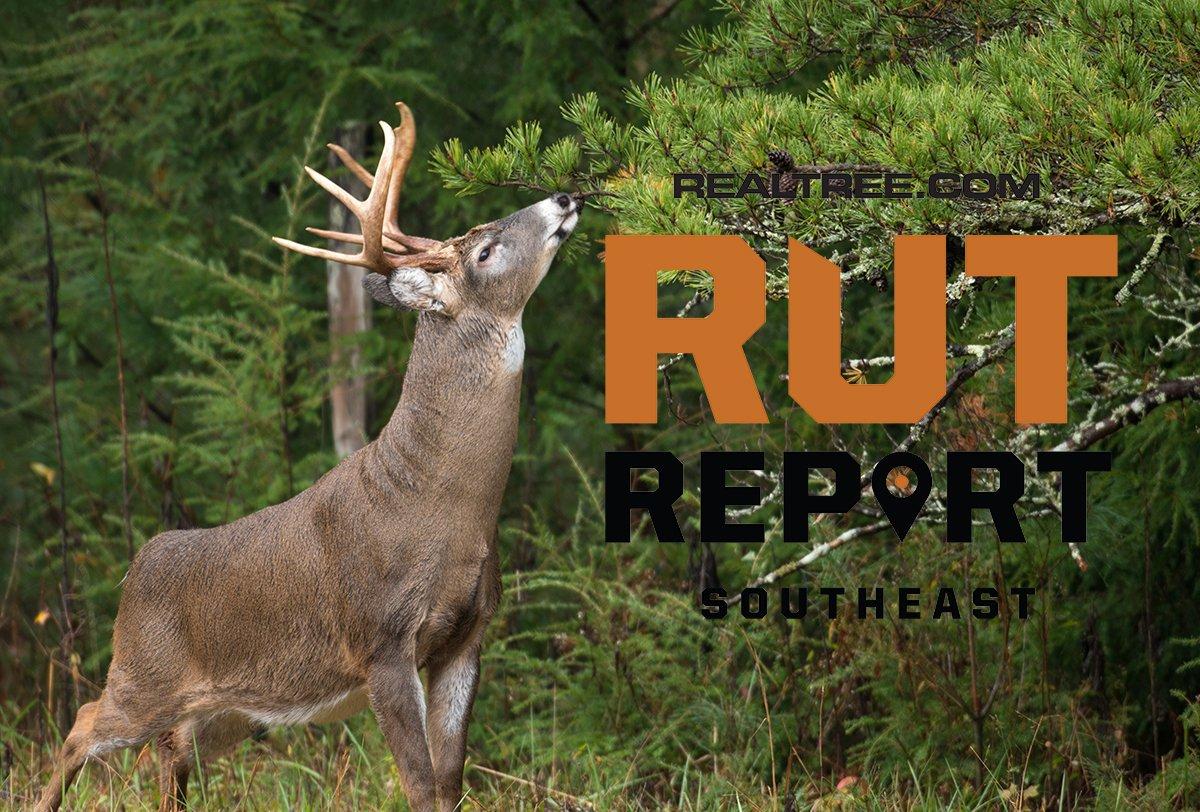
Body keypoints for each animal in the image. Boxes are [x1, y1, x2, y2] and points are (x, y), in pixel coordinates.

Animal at [36, 101, 582, 812]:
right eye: (486, 250)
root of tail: (135, 571)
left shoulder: (466, 638)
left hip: (226, 711)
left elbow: (450, 784)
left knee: (168, 756)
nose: (566, 196)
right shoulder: (381, 641)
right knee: (81, 725)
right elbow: (420, 785)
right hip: (142, 674)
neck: (441, 506)